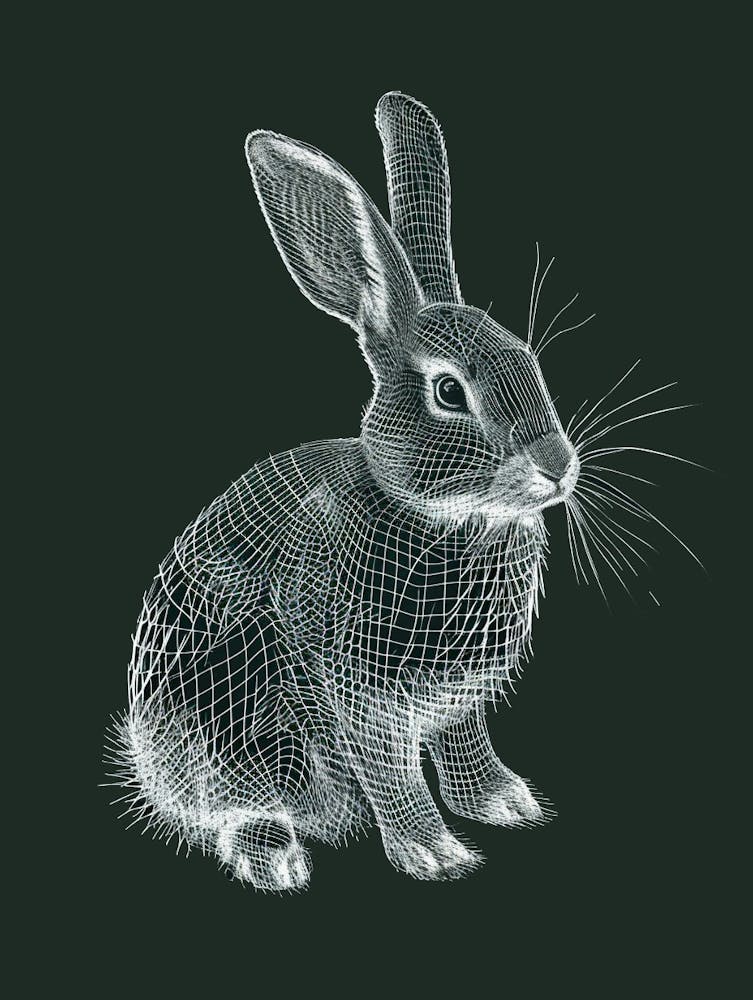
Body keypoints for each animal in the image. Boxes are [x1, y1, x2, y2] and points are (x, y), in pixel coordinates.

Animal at [107, 91, 580, 891]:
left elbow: (465, 748)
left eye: (528, 359)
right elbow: (393, 775)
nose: (557, 466)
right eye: (449, 392)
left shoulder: (462, 702)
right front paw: (435, 854)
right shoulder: (363, 696)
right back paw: (276, 860)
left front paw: (505, 803)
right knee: (229, 806)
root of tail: (145, 757)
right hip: (238, 726)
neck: (449, 518)